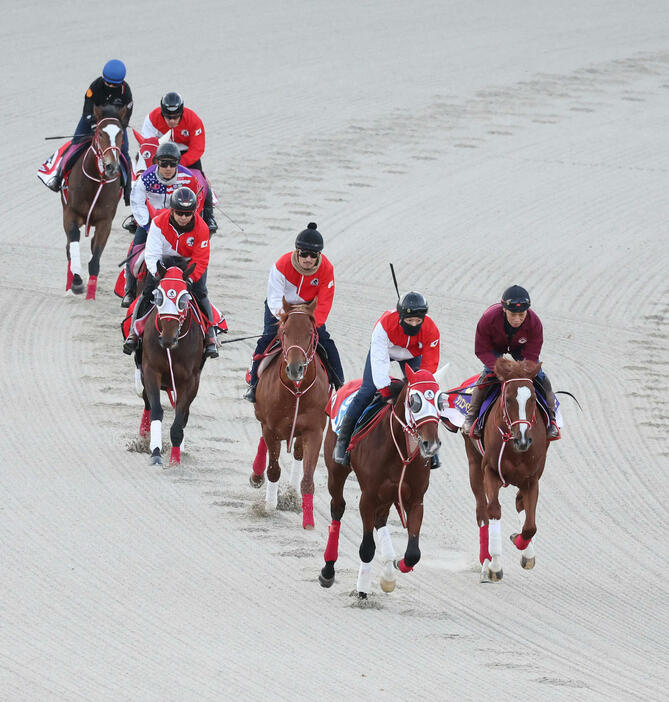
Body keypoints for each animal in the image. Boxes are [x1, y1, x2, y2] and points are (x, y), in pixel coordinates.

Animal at [63, 105, 126, 300]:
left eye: (120, 133)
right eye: (100, 133)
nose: (111, 167)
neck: (95, 182)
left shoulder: (105, 222)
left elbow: (95, 259)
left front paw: (90, 294)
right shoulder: (70, 213)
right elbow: (73, 244)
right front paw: (76, 282)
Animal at [138, 260, 204, 468]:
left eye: (183, 300)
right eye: (158, 297)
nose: (167, 338)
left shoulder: (191, 380)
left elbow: (180, 416)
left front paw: (175, 458)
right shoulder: (151, 370)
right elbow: (156, 409)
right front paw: (156, 452)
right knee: (147, 401)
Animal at [249, 300, 330, 532]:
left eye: (310, 333)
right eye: (284, 332)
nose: (295, 369)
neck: (295, 391)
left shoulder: (314, 431)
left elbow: (308, 479)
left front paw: (308, 519)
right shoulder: (270, 427)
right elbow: (274, 469)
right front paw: (269, 506)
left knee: (298, 453)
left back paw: (292, 494)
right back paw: (257, 475)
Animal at [320, 366, 444, 604]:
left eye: (441, 401)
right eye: (415, 401)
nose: (431, 445)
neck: (401, 453)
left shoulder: (415, 499)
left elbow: (413, 554)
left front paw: (395, 566)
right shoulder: (368, 496)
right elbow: (367, 548)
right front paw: (361, 591)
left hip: (388, 494)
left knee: (381, 519)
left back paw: (388, 573)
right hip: (336, 471)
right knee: (337, 508)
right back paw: (328, 570)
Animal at [462, 358, 552, 584]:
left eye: (533, 398)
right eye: (509, 399)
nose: (523, 439)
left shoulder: (532, 478)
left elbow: (530, 526)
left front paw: (523, 547)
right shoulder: (490, 471)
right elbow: (493, 510)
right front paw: (494, 567)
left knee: (520, 504)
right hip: (474, 464)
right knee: (482, 512)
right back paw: (485, 564)